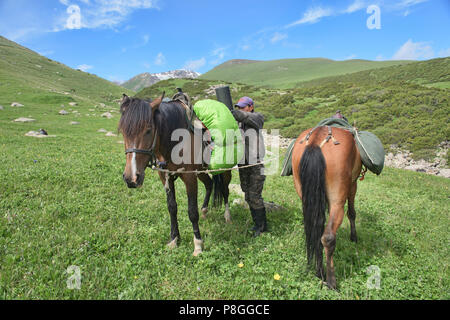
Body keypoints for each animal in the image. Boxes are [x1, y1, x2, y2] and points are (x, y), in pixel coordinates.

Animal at [118, 92, 232, 255]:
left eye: (148, 130)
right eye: (123, 131)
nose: (131, 178)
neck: (174, 142)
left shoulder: (189, 177)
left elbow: (192, 211)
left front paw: (198, 245)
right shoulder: (166, 177)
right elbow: (172, 207)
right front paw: (174, 239)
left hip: (225, 170)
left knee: (224, 190)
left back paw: (227, 216)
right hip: (200, 171)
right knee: (210, 184)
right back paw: (205, 210)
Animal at [292, 125, 362, 290]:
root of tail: (315, 141)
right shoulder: (353, 185)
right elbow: (352, 213)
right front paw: (354, 237)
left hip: (304, 195)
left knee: (316, 232)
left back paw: (319, 272)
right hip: (338, 200)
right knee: (328, 237)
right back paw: (331, 282)